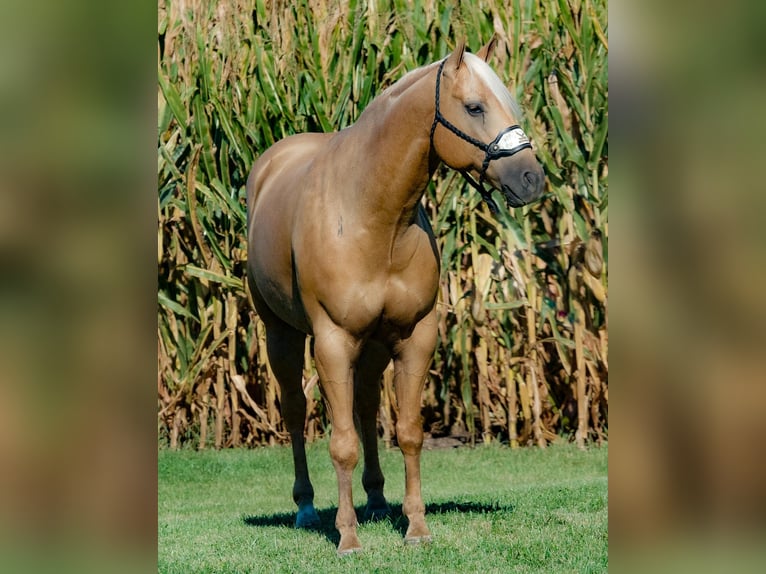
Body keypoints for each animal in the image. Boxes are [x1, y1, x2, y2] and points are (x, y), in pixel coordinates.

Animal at [248, 37, 544, 560]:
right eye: (474, 107)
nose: (532, 179)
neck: (374, 217)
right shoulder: (331, 342)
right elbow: (341, 442)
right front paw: (347, 537)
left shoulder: (415, 336)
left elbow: (407, 432)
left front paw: (416, 527)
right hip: (280, 334)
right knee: (296, 410)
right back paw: (306, 508)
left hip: (373, 344)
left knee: (367, 406)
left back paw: (377, 499)